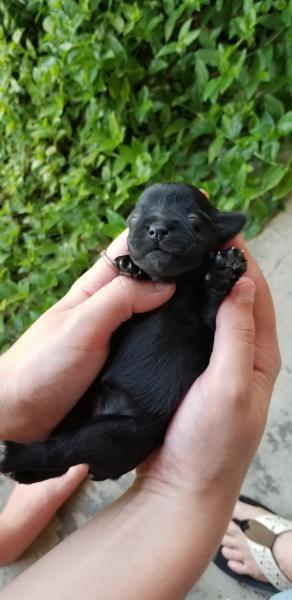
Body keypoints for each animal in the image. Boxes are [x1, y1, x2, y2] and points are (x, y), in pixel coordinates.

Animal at [0, 183, 246, 482]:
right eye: (133, 220)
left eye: (195, 222)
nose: (158, 228)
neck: (177, 282)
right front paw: (129, 266)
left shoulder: (207, 328)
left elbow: (211, 303)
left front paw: (224, 269)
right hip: (81, 405)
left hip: (115, 433)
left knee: (63, 451)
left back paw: (13, 456)